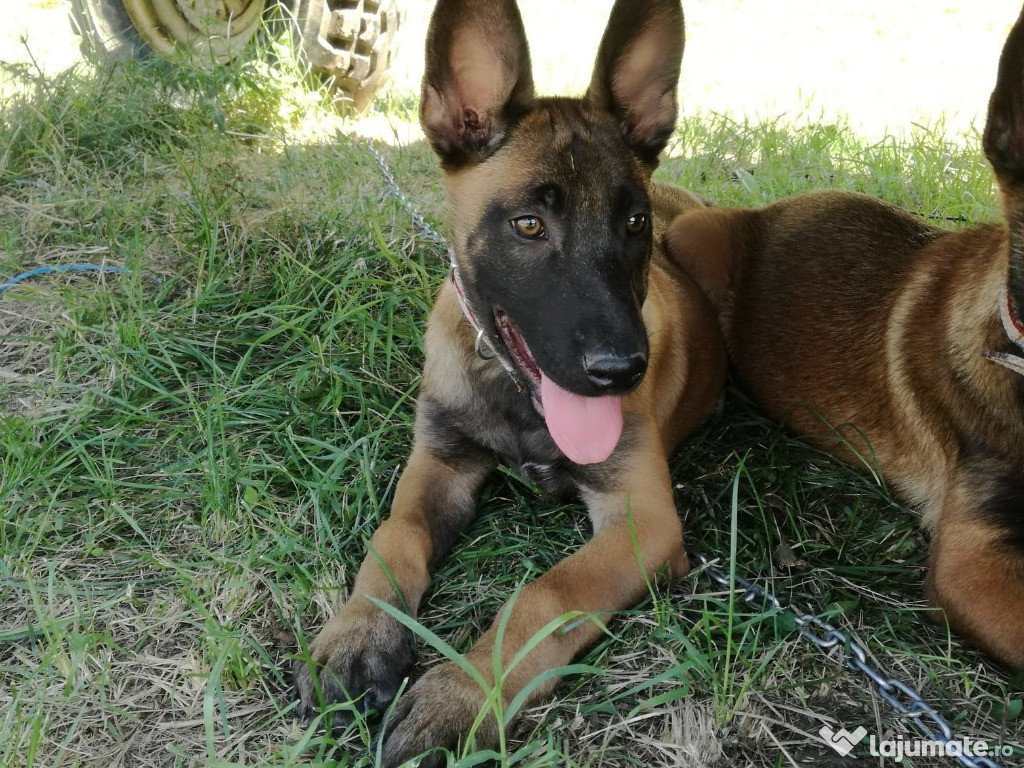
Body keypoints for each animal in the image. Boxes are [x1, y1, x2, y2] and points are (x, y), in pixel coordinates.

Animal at [294, 0, 729, 765]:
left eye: (633, 222)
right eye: (528, 224)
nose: (621, 369)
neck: (514, 394)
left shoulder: (643, 521)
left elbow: (546, 595)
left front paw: (464, 694)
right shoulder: (439, 461)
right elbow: (394, 536)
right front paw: (360, 634)